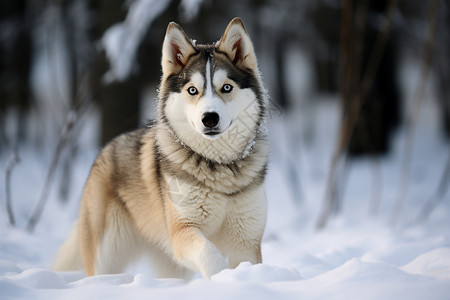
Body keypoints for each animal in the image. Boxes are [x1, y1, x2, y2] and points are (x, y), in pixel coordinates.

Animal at [52, 17, 268, 280]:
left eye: (226, 87)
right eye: (192, 90)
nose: (209, 118)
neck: (218, 166)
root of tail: (106, 148)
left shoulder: (245, 240)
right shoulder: (182, 231)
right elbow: (209, 252)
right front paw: (221, 277)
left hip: (168, 265)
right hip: (106, 256)